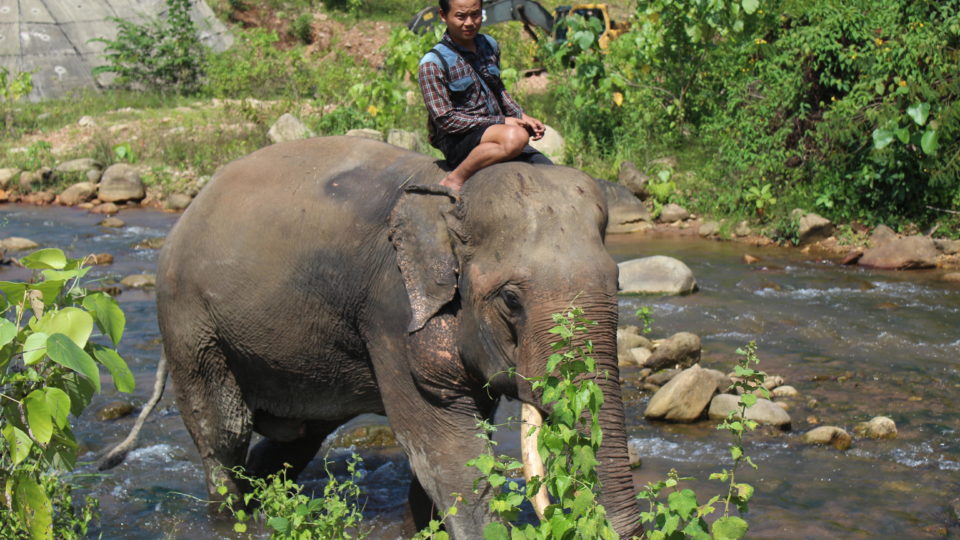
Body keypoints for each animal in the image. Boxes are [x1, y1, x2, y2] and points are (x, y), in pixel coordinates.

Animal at [149, 136, 642, 538]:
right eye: (511, 300)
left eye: (618, 284)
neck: (447, 200)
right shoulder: (392, 306)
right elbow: (442, 440)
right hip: (190, 322)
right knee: (224, 432)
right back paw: (231, 518)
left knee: (296, 440)